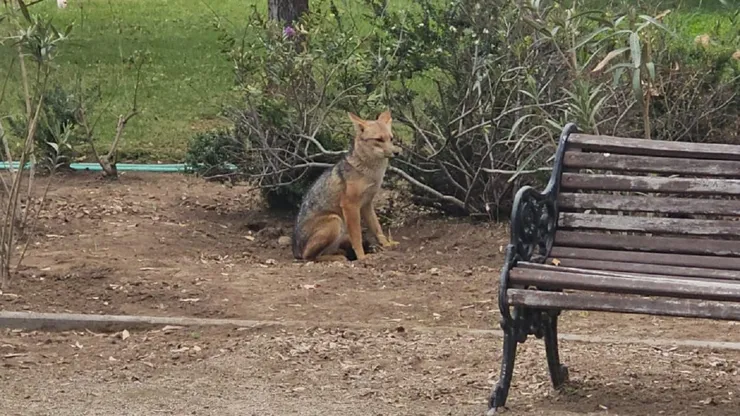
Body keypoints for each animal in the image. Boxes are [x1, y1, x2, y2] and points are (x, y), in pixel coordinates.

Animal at [292, 110, 402, 262]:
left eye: (391, 139)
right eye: (379, 139)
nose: (397, 152)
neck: (371, 173)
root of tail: (295, 250)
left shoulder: (367, 204)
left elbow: (377, 228)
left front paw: (387, 244)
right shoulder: (350, 206)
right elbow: (357, 236)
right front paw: (362, 257)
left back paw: (340, 253)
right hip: (336, 221)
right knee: (310, 257)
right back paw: (338, 258)